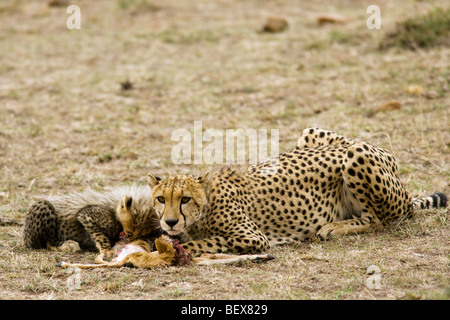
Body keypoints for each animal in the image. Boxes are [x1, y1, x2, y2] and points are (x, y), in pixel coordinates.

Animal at [148, 127, 446, 255]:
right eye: (161, 199)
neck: (205, 206)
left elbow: (204, 242)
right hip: (311, 132)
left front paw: (167, 249)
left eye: (185, 199)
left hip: (357, 153)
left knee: (378, 219)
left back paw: (332, 227)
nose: (170, 221)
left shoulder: (254, 238)